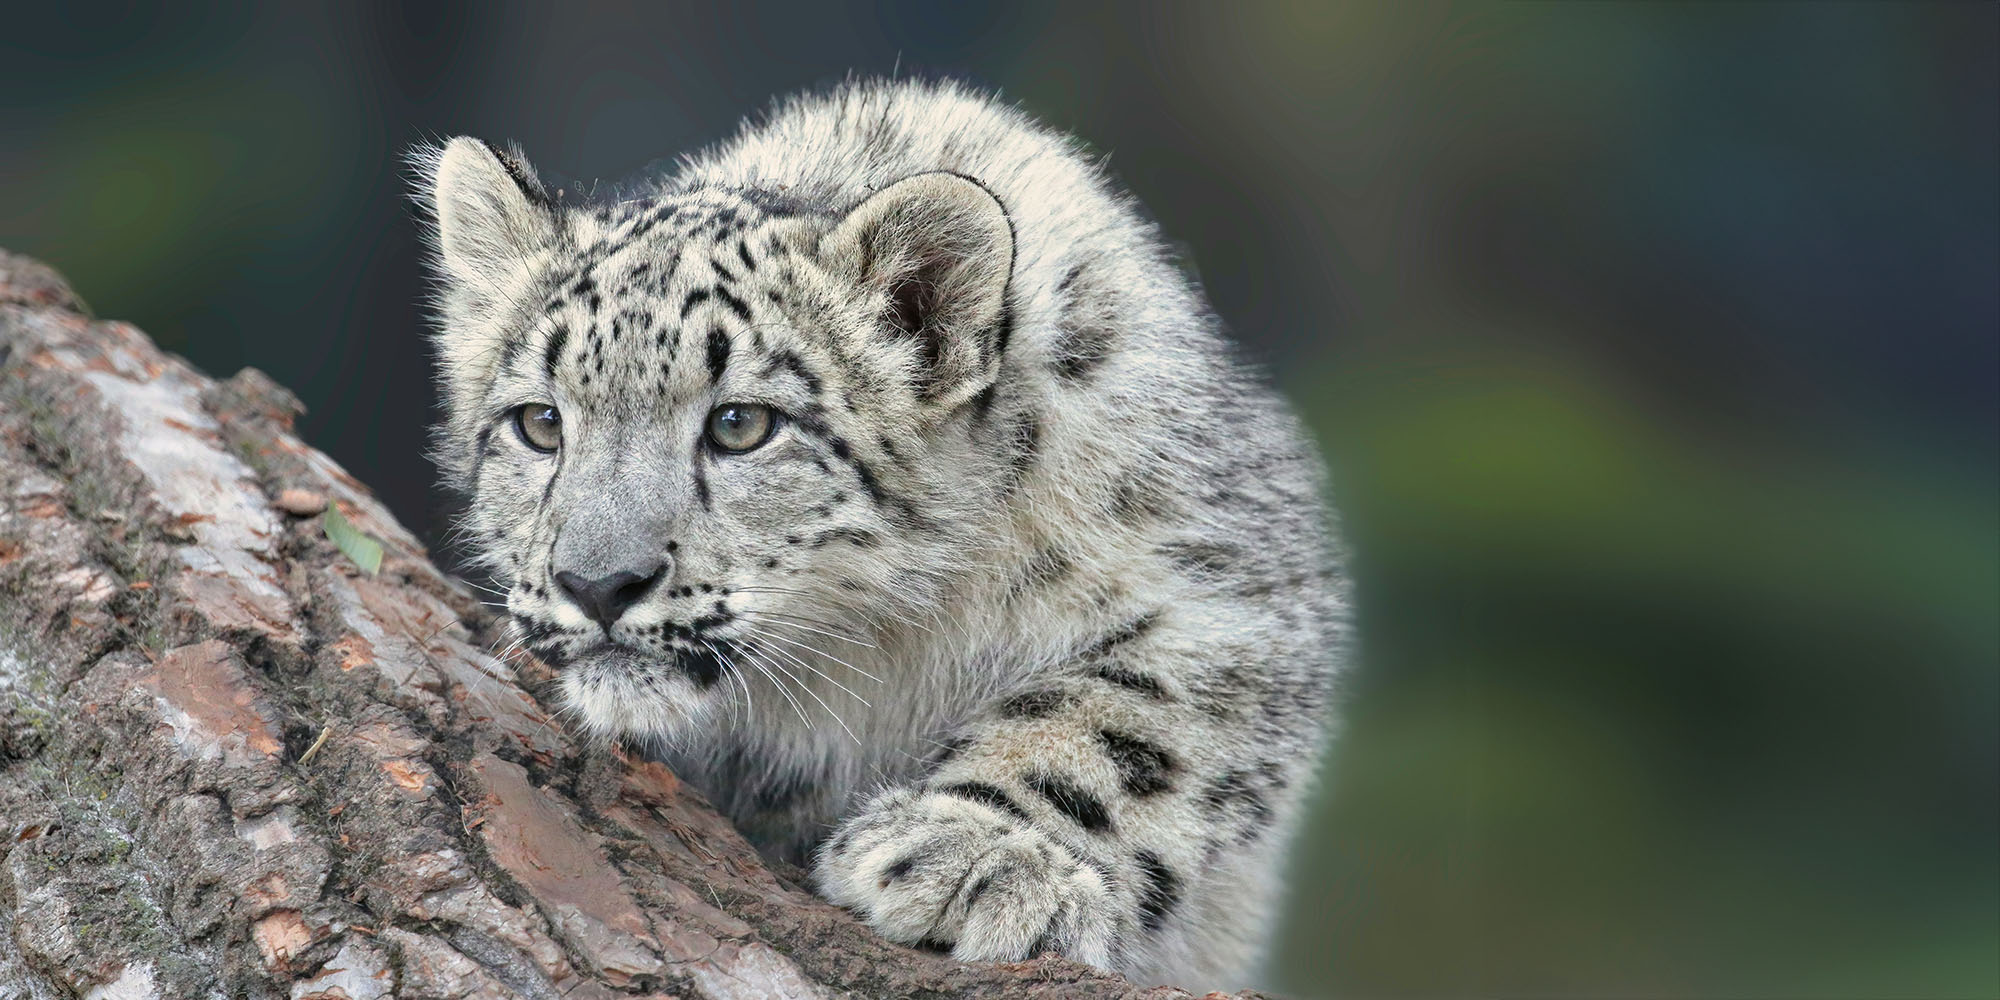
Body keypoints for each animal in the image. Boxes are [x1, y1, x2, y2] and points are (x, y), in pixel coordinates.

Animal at [414, 77, 1348, 990]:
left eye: (741, 424)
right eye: (540, 422)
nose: (599, 585)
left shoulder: (1231, 586)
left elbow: (1122, 718)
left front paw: (980, 856)